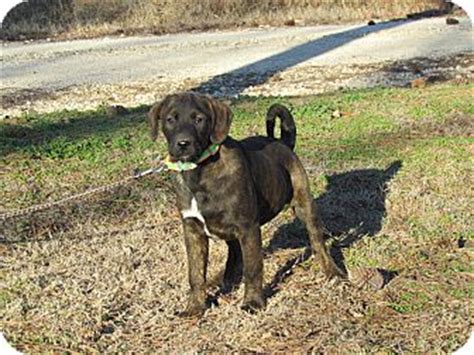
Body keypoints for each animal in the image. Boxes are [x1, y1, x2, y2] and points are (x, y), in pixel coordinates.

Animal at [148, 93, 344, 318]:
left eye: (199, 120)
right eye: (170, 119)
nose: (183, 143)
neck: (199, 171)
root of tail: (282, 142)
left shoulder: (248, 227)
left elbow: (253, 268)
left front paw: (253, 302)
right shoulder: (192, 231)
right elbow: (195, 273)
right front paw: (195, 307)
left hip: (304, 204)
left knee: (317, 241)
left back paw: (333, 272)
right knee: (234, 253)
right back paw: (222, 280)